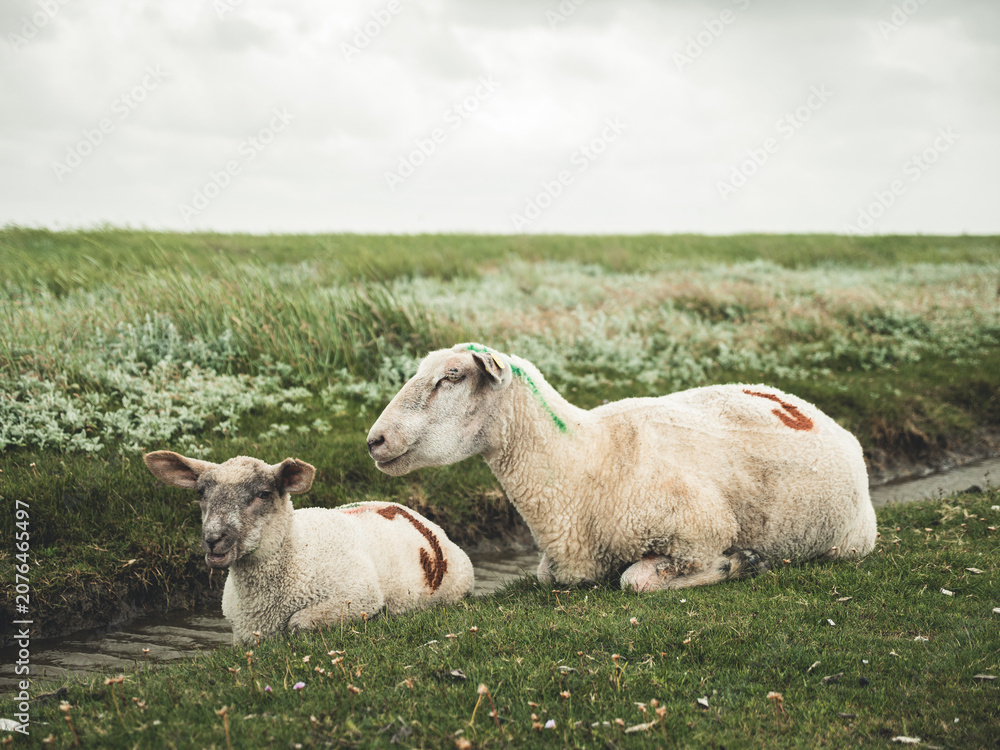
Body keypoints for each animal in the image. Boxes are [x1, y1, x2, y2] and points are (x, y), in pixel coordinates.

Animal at [143, 451, 474, 643]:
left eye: (264, 494)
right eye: (200, 493)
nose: (214, 539)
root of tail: (415, 514)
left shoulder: (358, 597)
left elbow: (297, 623)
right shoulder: (242, 634)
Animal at [366, 343, 877, 591]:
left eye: (452, 376)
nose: (375, 440)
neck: (583, 459)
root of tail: (807, 406)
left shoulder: (700, 532)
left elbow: (636, 580)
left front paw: (742, 562)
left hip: (849, 543)